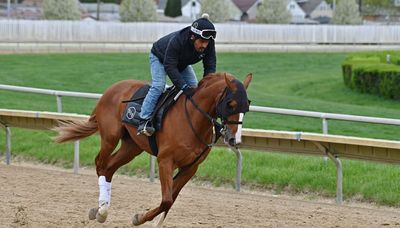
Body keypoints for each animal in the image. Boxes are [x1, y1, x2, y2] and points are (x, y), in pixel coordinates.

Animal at [54, 72, 252, 225]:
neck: (193, 120)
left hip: (132, 147)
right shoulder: (165, 160)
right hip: (110, 136)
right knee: (100, 164)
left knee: (109, 167)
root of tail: (113, 88)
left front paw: (144, 217)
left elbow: (170, 201)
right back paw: (102, 210)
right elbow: (166, 200)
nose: (235, 139)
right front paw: (139, 218)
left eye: (247, 106)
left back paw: (100, 209)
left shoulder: (191, 167)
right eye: (231, 104)